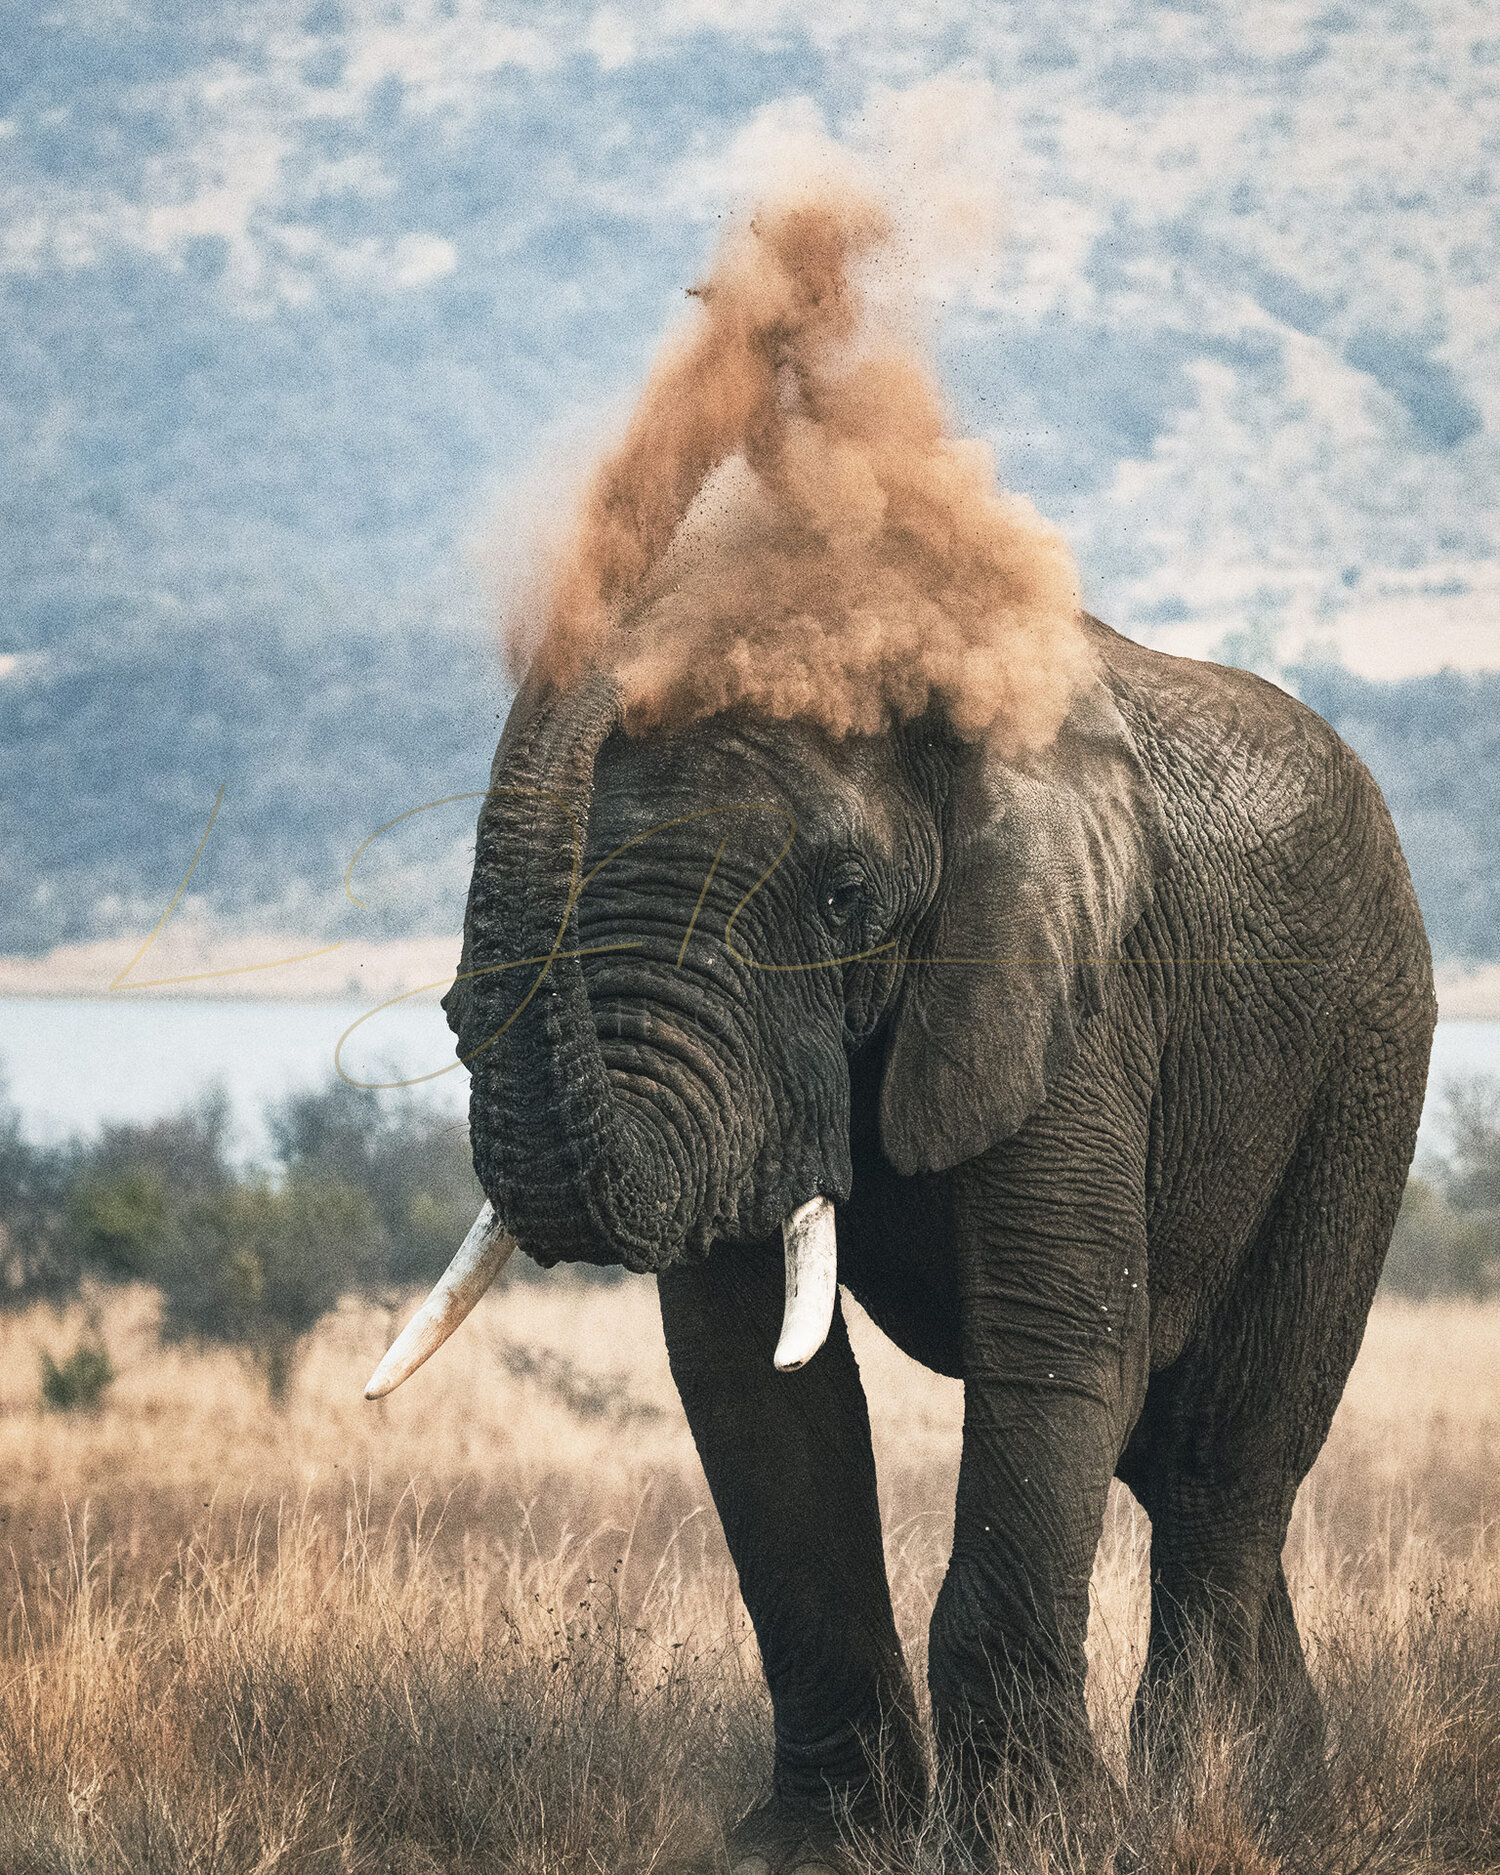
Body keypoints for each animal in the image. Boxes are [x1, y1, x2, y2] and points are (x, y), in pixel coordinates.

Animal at [369, 611, 1432, 1860]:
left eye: (843, 896)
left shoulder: (1064, 987)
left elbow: (1050, 1347)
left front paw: (1035, 1844)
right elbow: (756, 1387)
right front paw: (804, 1850)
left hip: (1367, 1056)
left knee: (1224, 1450)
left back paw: (1213, 1801)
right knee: (1173, 1458)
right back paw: (1288, 1789)